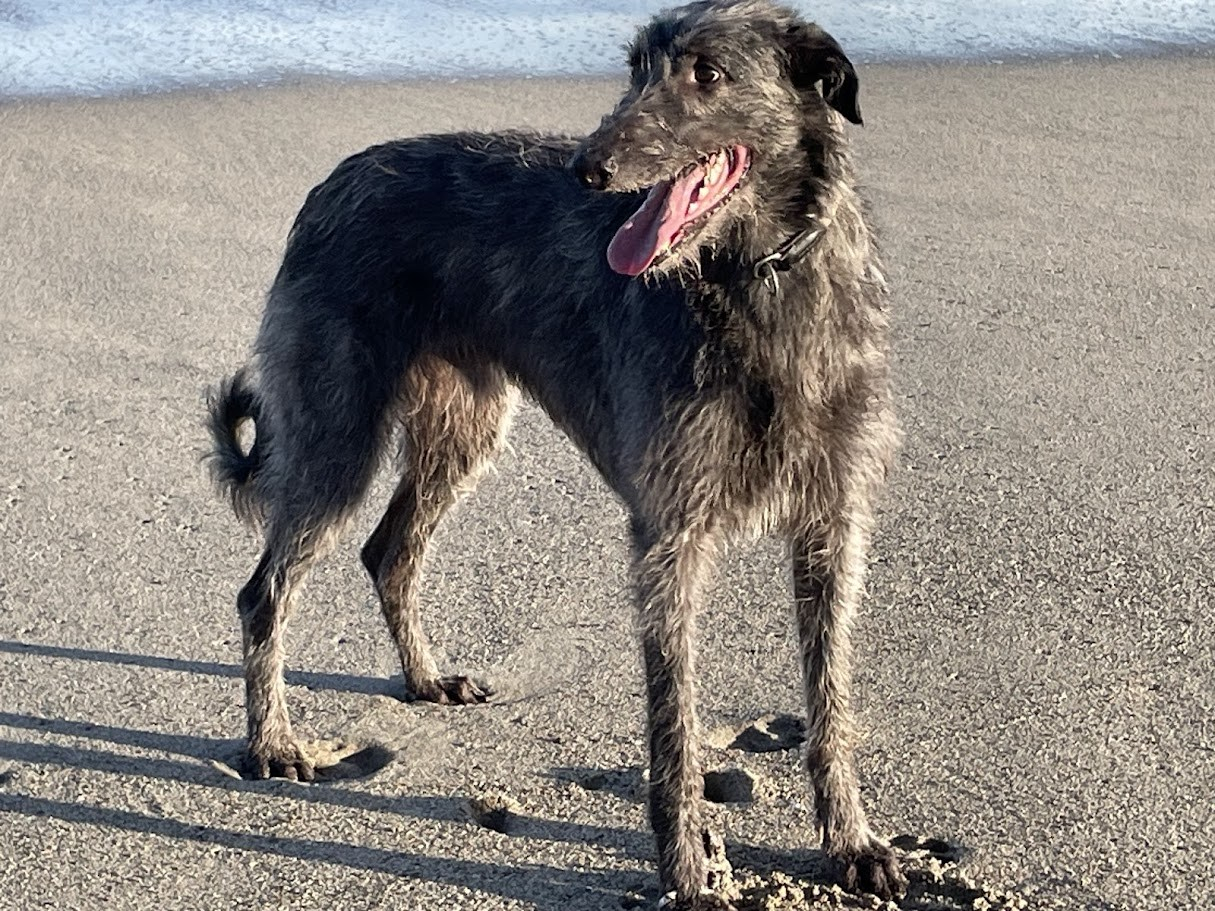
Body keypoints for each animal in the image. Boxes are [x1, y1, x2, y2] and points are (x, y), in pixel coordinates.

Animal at [208, 0, 908, 908]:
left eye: (708, 73)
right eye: (636, 67)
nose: (588, 169)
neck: (757, 283)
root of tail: (330, 184)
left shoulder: (831, 522)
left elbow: (830, 699)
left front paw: (851, 841)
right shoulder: (670, 535)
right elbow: (674, 722)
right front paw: (687, 870)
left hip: (460, 427)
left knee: (389, 549)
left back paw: (423, 678)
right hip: (339, 432)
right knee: (264, 591)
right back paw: (272, 742)